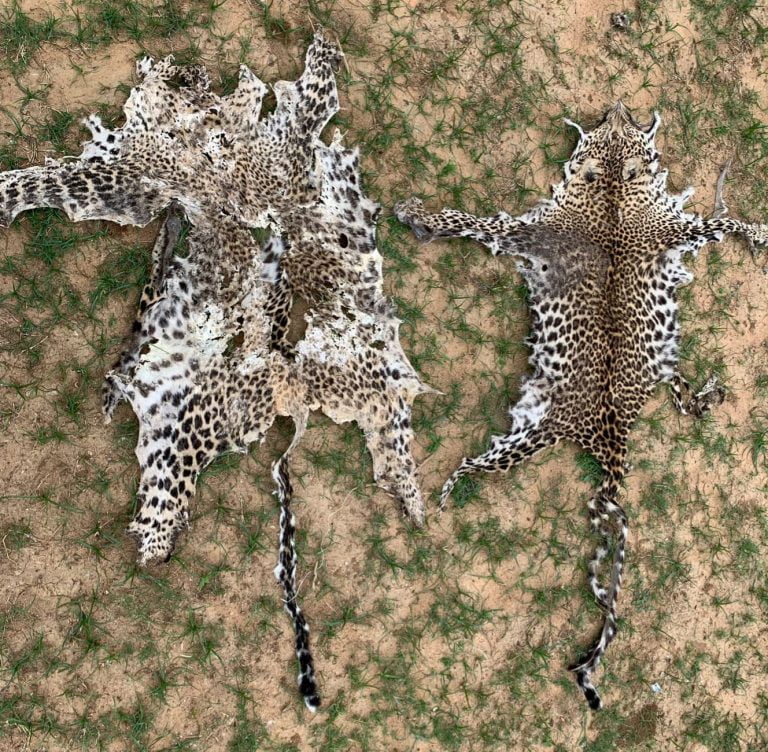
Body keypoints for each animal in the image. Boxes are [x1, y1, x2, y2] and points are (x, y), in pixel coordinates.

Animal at [395, 101, 768, 710]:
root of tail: (612, 438)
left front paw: (415, 212)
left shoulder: (543, 228)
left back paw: (432, 499)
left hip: (529, 436)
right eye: (606, 135)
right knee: (683, 399)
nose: (618, 105)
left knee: (469, 469)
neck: (613, 196)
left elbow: (467, 220)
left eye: (627, 136)